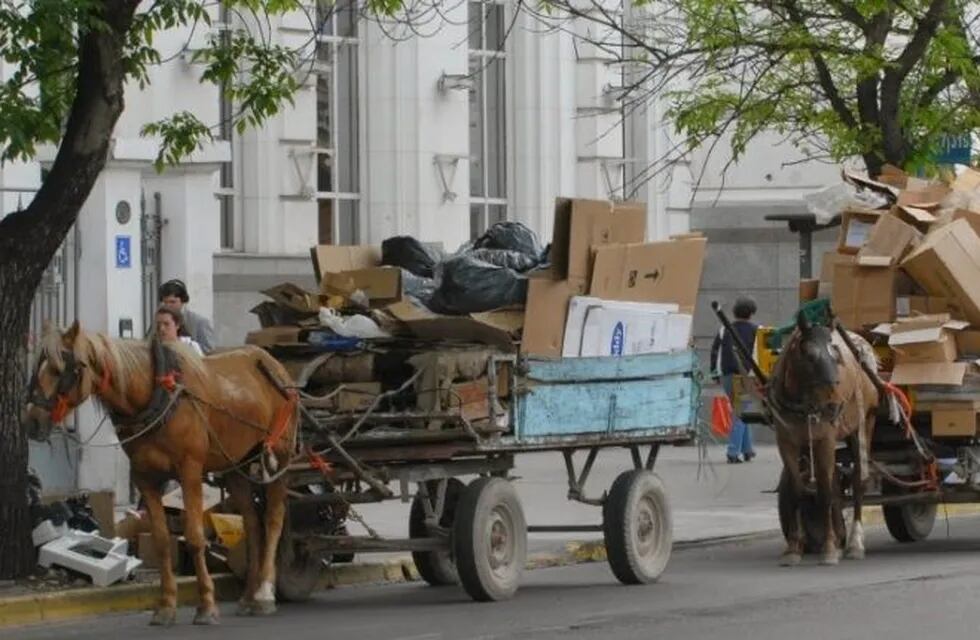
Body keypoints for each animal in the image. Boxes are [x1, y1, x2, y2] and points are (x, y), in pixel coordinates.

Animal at [23, 320, 298, 624]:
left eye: (61, 369)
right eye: (38, 367)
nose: (32, 421)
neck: (157, 395)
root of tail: (275, 366)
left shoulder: (190, 472)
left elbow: (194, 538)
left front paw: (206, 605)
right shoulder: (147, 479)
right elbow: (162, 541)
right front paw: (166, 605)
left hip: (279, 456)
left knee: (273, 518)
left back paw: (264, 593)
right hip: (236, 464)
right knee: (251, 522)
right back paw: (248, 596)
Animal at [772, 312, 880, 568]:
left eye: (836, 355)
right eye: (809, 354)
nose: (833, 406)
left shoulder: (826, 439)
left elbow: (824, 493)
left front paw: (829, 548)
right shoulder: (787, 442)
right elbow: (798, 490)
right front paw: (794, 547)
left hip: (863, 425)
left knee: (858, 482)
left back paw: (854, 543)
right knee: (834, 484)